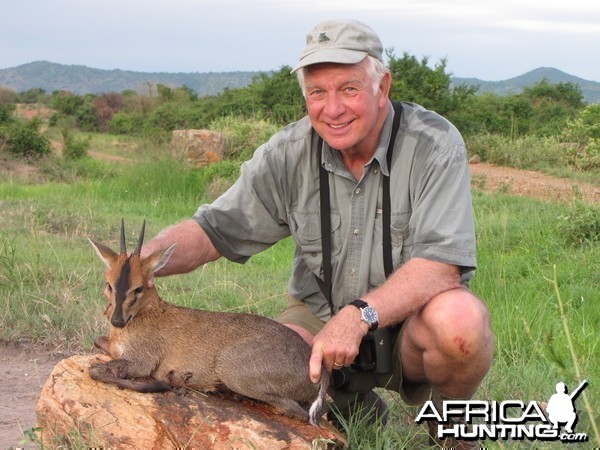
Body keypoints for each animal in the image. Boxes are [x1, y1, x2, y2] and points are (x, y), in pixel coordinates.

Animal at [88, 221, 328, 426]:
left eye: (138, 288)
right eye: (109, 285)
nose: (117, 320)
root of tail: (320, 373)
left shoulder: (142, 361)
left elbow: (96, 370)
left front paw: (167, 383)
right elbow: (98, 343)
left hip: (231, 368)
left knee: (297, 411)